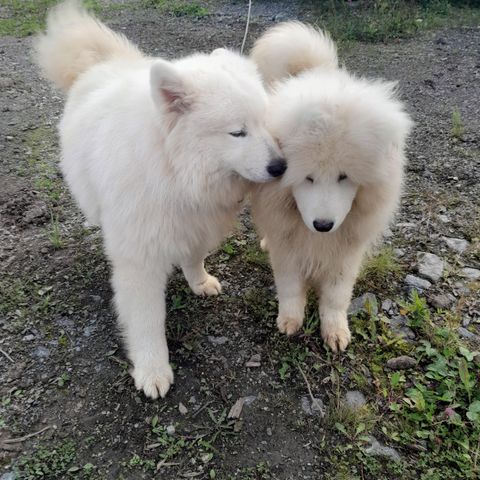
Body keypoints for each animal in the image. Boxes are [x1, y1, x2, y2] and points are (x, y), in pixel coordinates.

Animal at [37, 0, 286, 398]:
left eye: (266, 123)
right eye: (237, 132)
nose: (281, 166)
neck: (175, 174)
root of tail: (105, 62)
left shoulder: (196, 223)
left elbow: (194, 257)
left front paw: (199, 281)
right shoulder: (140, 260)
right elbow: (146, 321)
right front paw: (153, 369)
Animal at [251, 21, 412, 352]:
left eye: (344, 176)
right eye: (307, 177)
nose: (323, 225)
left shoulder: (346, 253)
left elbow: (336, 297)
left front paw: (335, 331)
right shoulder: (287, 246)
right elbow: (289, 287)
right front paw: (290, 320)